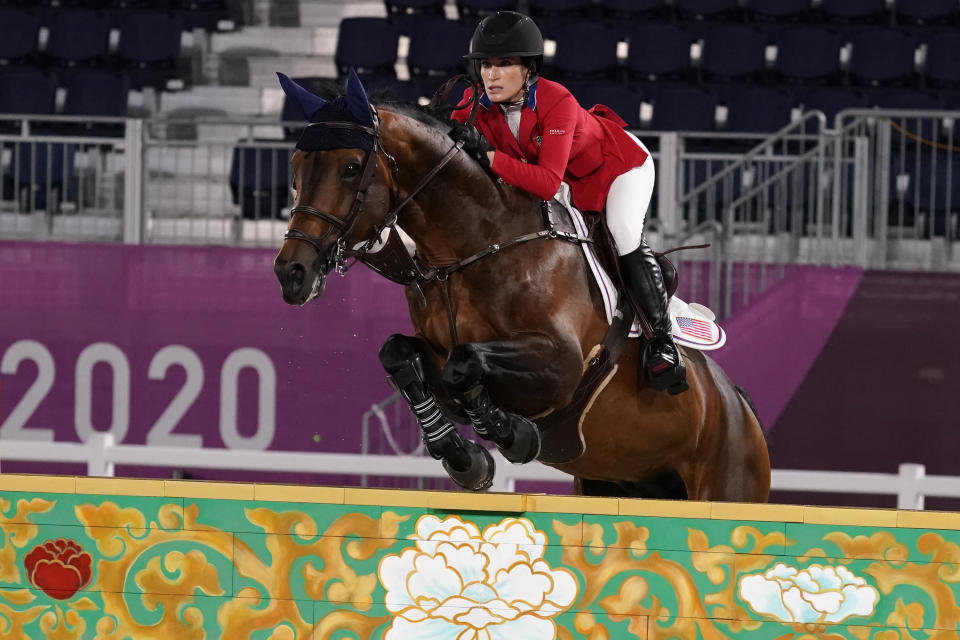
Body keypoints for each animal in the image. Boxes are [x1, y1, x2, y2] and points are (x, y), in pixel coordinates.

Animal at [272, 72, 772, 502]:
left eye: (351, 167)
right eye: (294, 163)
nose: (291, 273)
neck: (474, 247)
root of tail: (738, 403)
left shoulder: (562, 365)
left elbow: (464, 364)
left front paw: (511, 435)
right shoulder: (433, 347)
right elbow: (400, 354)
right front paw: (466, 459)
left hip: (728, 481)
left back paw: (664, 357)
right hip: (619, 482)